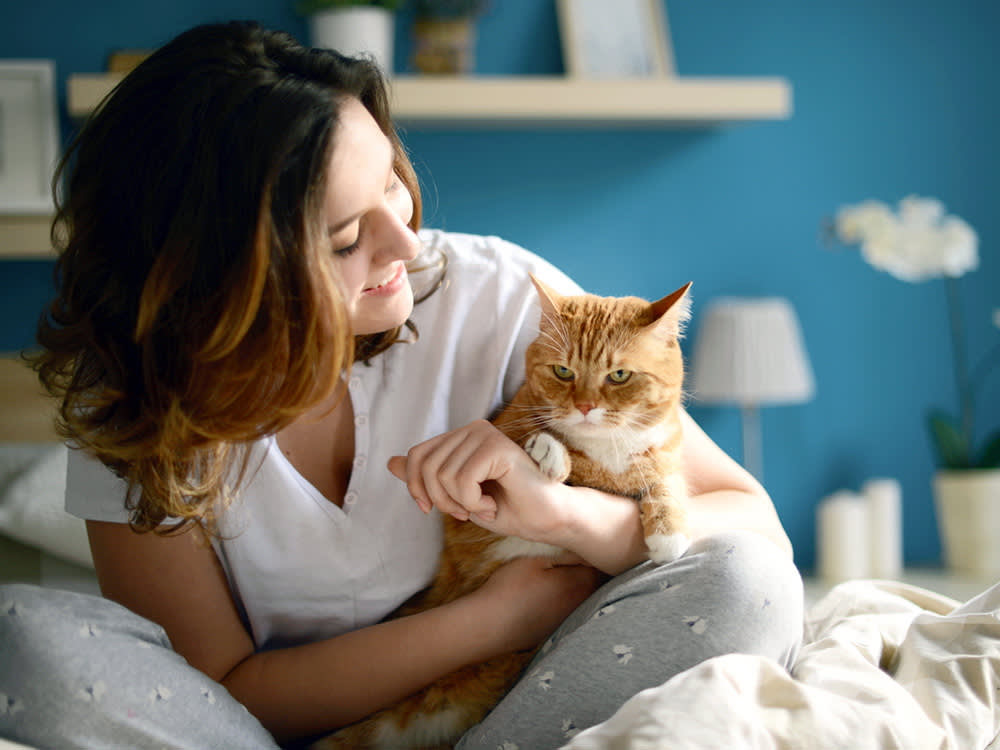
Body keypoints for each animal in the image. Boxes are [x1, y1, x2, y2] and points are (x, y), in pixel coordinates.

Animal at [316, 276, 692, 750]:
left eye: (619, 375)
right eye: (563, 372)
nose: (585, 407)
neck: (605, 452)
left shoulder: (665, 452)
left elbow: (667, 481)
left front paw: (669, 531)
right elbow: (541, 444)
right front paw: (550, 451)